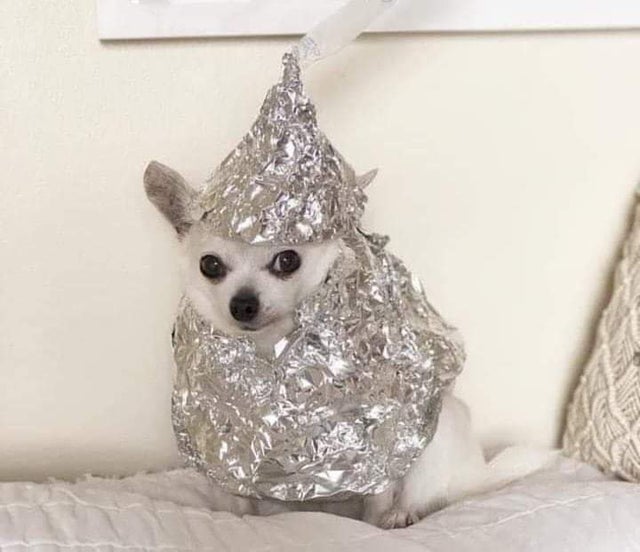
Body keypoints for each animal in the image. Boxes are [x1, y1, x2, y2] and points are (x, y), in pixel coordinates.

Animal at [144, 160, 551, 529]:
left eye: (288, 259)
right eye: (210, 265)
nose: (243, 303)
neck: (274, 353)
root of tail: (475, 472)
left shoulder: (376, 443)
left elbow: (377, 497)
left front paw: (376, 523)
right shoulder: (230, 453)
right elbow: (237, 501)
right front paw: (238, 519)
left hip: (437, 437)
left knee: (425, 494)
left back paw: (402, 514)